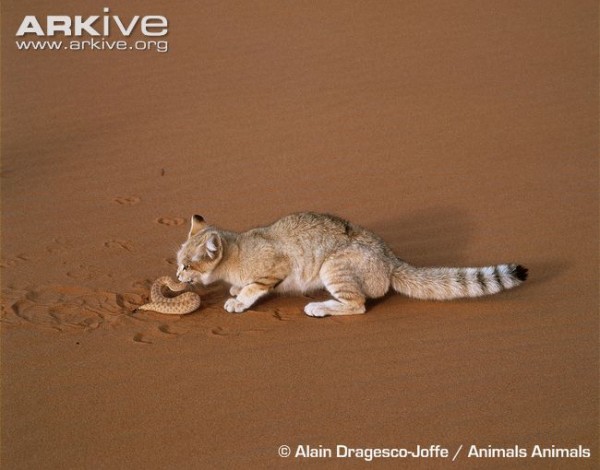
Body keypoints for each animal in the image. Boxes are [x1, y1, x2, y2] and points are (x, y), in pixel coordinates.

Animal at [176, 212, 528, 316]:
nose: (176, 275)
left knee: (357, 305)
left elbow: (254, 287)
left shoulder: (275, 269)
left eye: (187, 266)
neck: (236, 248)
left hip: (334, 268)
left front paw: (238, 300)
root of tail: (391, 259)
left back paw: (319, 307)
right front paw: (235, 290)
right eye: (179, 263)